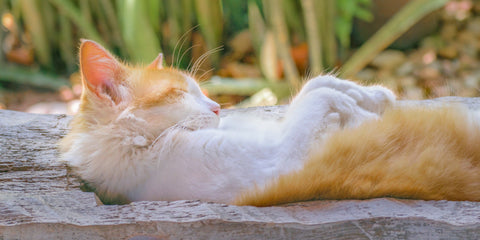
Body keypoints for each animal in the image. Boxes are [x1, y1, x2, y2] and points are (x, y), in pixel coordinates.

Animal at [60, 39, 480, 206]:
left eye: (200, 90)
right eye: (180, 94)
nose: (217, 108)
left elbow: (315, 84)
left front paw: (374, 96)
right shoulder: (281, 160)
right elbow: (316, 98)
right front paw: (365, 115)